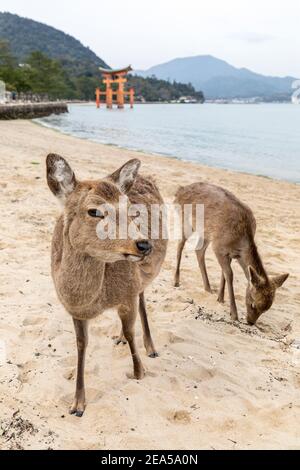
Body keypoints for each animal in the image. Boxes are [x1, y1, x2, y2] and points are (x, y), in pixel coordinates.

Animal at [47, 155, 168, 418]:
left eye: (131, 209)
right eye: (94, 211)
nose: (144, 244)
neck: (95, 299)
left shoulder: (128, 289)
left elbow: (132, 330)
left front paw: (139, 371)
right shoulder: (76, 311)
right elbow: (81, 345)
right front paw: (77, 404)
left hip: (140, 279)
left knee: (142, 299)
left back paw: (151, 347)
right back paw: (119, 336)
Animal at [173, 182, 288, 324]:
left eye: (266, 309)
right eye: (253, 304)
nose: (250, 323)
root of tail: (179, 191)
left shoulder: (230, 254)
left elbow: (224, 273)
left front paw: (220, 298)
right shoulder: (218, 247)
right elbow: (229, 274)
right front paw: (234, 314)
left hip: (205, 233)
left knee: (198, 251)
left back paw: (208, 288)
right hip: (186, 222)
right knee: (180, 244)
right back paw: (176, 281)